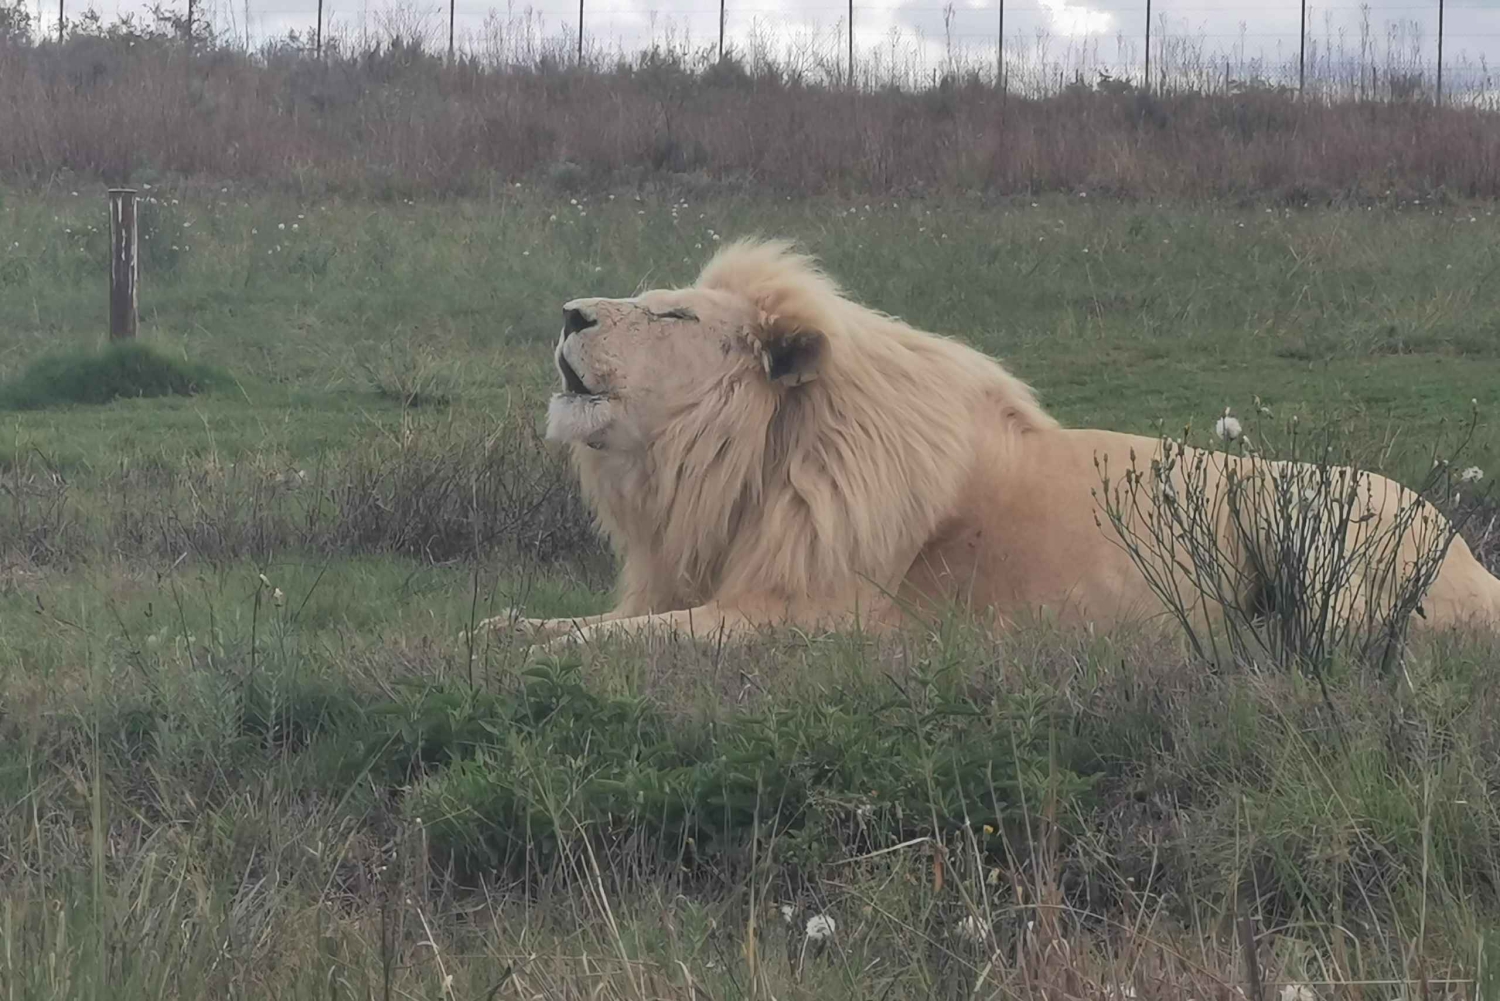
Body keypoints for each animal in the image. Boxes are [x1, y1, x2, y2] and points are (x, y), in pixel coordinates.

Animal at [481, 238, 1500, 651]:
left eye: (672, 314)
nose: (568, 313)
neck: (737, 469)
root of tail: (1471, 559)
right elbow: (587, 624)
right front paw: (502, 628)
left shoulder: (815, 615)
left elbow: (634, 640)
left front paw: (526, 646)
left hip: (1324, 523)